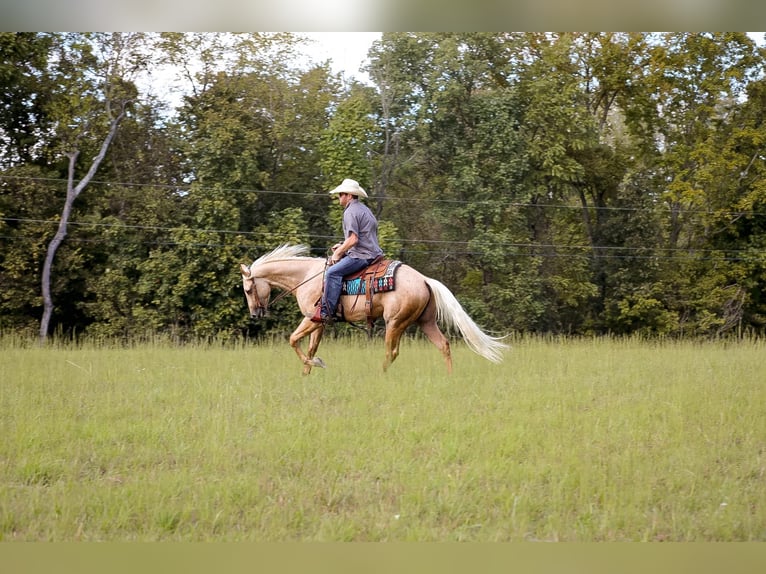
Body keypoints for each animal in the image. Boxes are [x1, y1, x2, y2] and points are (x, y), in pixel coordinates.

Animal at [240, 244, 508, 375]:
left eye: (248, 289)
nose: (255, 314)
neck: (306, 276)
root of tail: (424, 279)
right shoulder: (320, 322)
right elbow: (310, 346)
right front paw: (307, 372)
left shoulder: (311, 318)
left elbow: (293, 340)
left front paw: (317, 364)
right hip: (425, 322)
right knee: (443, 345)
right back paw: (450, 377)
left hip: (395, 323)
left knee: (392, 352)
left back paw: (381, 375)